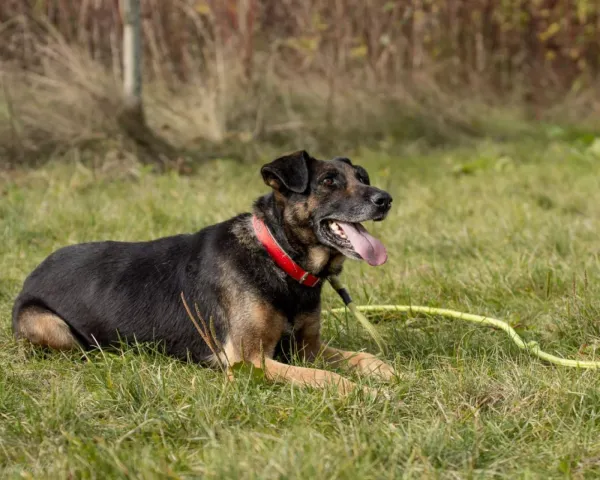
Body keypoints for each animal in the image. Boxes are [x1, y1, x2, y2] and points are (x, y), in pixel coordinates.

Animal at [11, 150, 396, 394]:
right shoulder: (250, 360)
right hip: (51, 326)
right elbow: (323, 376)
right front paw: (361, 391)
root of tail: (35, 270)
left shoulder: (306, 348)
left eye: (362, 177)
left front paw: (388, 372)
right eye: (329, 181)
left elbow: (363, 356)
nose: (386, 199)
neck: (278, 256)